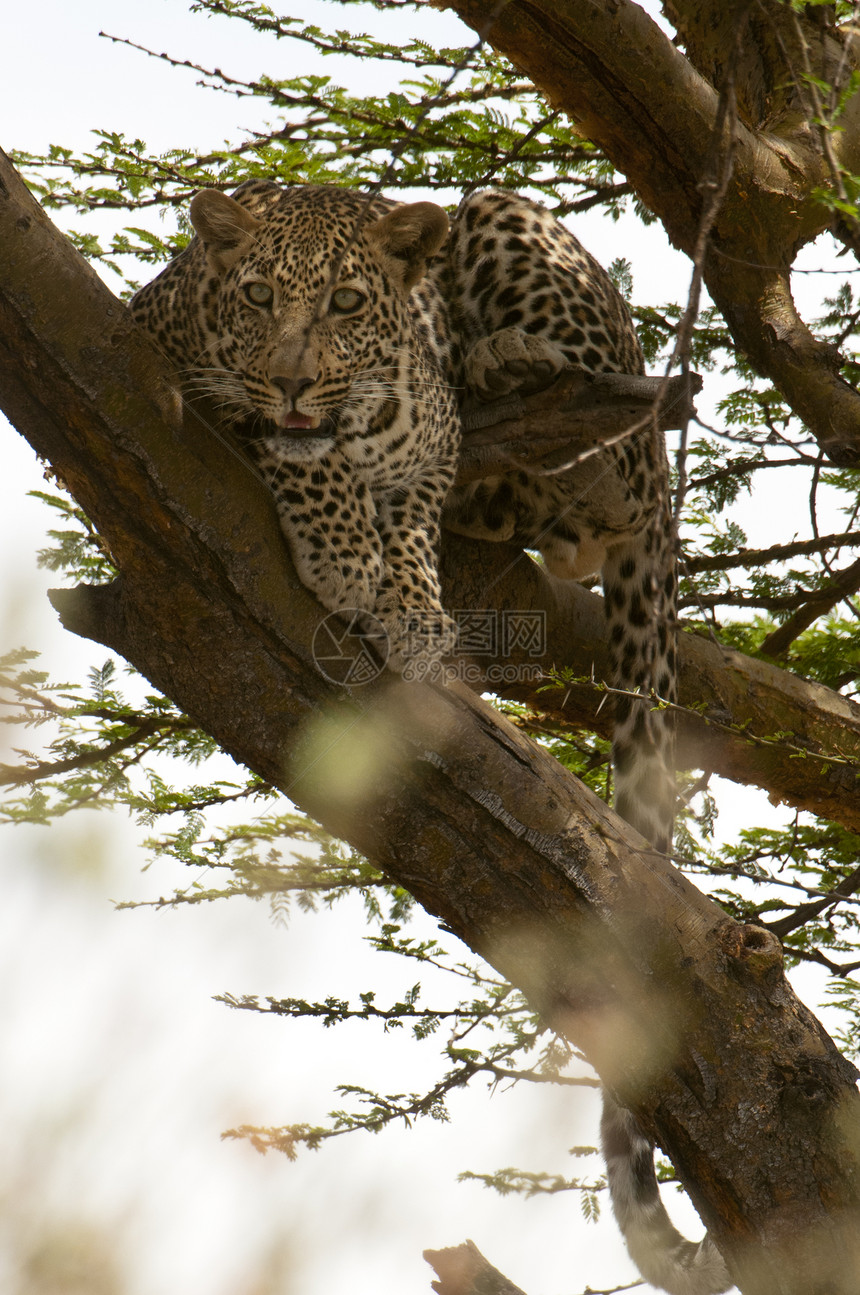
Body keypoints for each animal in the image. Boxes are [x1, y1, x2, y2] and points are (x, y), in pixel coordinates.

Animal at [129, 182, 725, 1295]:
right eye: (259, 297)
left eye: (347, 302)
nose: (293, 379)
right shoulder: (161, 354)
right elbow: (300, 458)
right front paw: (349, 555)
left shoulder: (423, 449)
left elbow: (406, 513)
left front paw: (404, 598)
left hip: (512, 233)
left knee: (595, 483)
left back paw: (511, 366)